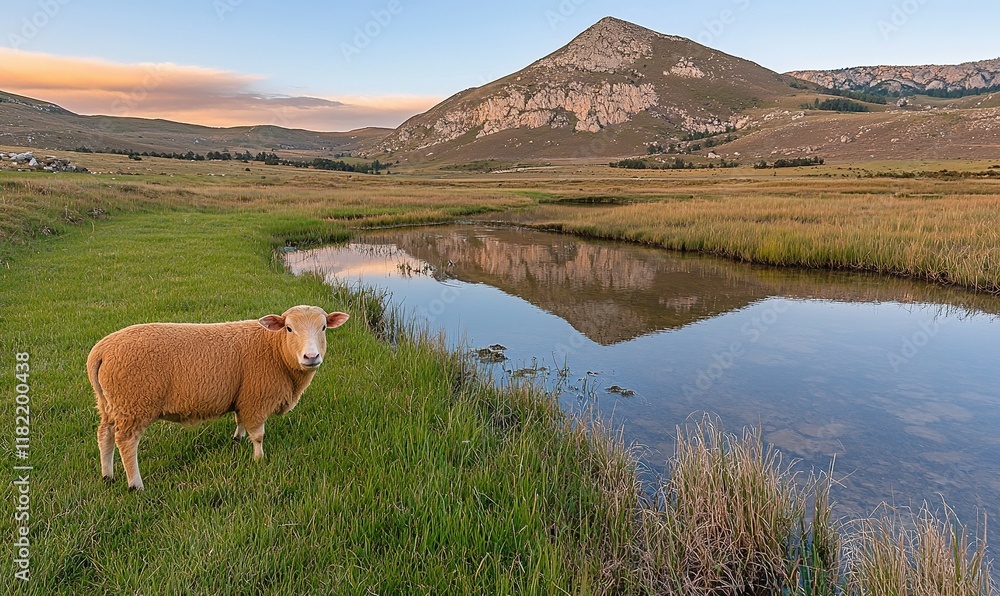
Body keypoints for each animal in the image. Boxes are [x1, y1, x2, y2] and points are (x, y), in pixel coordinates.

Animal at [86, 305, 349, 490]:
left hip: (110, 403)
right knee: (126, 442)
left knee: (104, 435)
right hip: (134, 403)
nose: (311, 356)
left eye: (324, 328)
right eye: (289, 328)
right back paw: (135, 484)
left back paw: (107, 475)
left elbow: (240, 421)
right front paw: (259, 460)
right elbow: (258, 436)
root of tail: (100, 351)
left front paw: (237, 439)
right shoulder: (257, 399)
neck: (274, 349)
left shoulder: (244, 397)